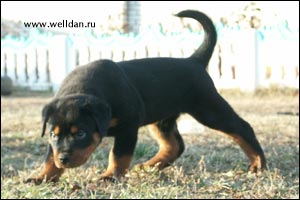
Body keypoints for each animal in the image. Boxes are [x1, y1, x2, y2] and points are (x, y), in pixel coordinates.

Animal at [25, 10, 264, 184]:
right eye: (53, 135)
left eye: (80, 133)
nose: (64, 159)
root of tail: (193, 61)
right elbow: (49, 156)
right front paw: (42, 176)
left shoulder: (128, 126)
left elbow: (118, 155)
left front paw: (110, 176)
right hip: (162, 119)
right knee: (175, 145)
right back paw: (149, 165)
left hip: (208, 108)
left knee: (242, 128)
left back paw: (258, 164)